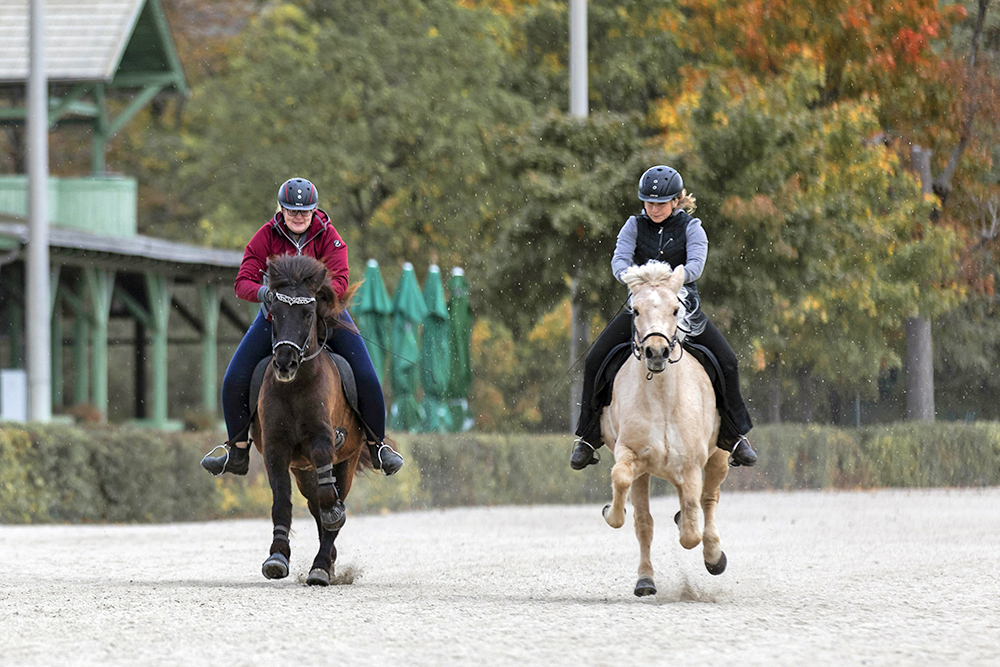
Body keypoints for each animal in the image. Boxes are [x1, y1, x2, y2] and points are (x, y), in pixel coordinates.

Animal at [256, 253, 370, 588]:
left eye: (308, 314)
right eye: (274, 313)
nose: (285, 362)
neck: (296, 386)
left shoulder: (323, 438)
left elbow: (330, 502)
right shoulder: (276, 447)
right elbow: (281, 501)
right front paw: (277, 557)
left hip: (346, 462)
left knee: (330, 501)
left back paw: (321, 567)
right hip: (302, 472)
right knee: (314, 504)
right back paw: (326, 564)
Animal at [596, 260, 732, 596]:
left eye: (674, 309)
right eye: (635, 310)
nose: (656, 352)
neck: (661, 400)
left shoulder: (692, 466)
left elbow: (691, 533)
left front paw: (701, 542)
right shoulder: (630, 454)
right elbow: (623, 486)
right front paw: (611, 512)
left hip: (719, 457)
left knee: (708, 501)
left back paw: (714, 556)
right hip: (647, 472)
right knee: (646, 521)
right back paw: (646, 579)